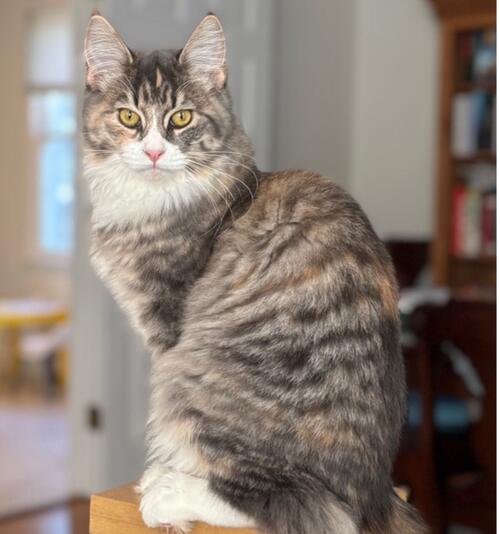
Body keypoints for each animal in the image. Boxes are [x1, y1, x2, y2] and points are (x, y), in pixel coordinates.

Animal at [82, 11, 426, 534]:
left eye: (180, 119)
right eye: (128, 118)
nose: (155, 153)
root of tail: (376, 494)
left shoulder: (166, 328)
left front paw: (167, 470)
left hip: (187, 373)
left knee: (299, 504)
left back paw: (169, 493)